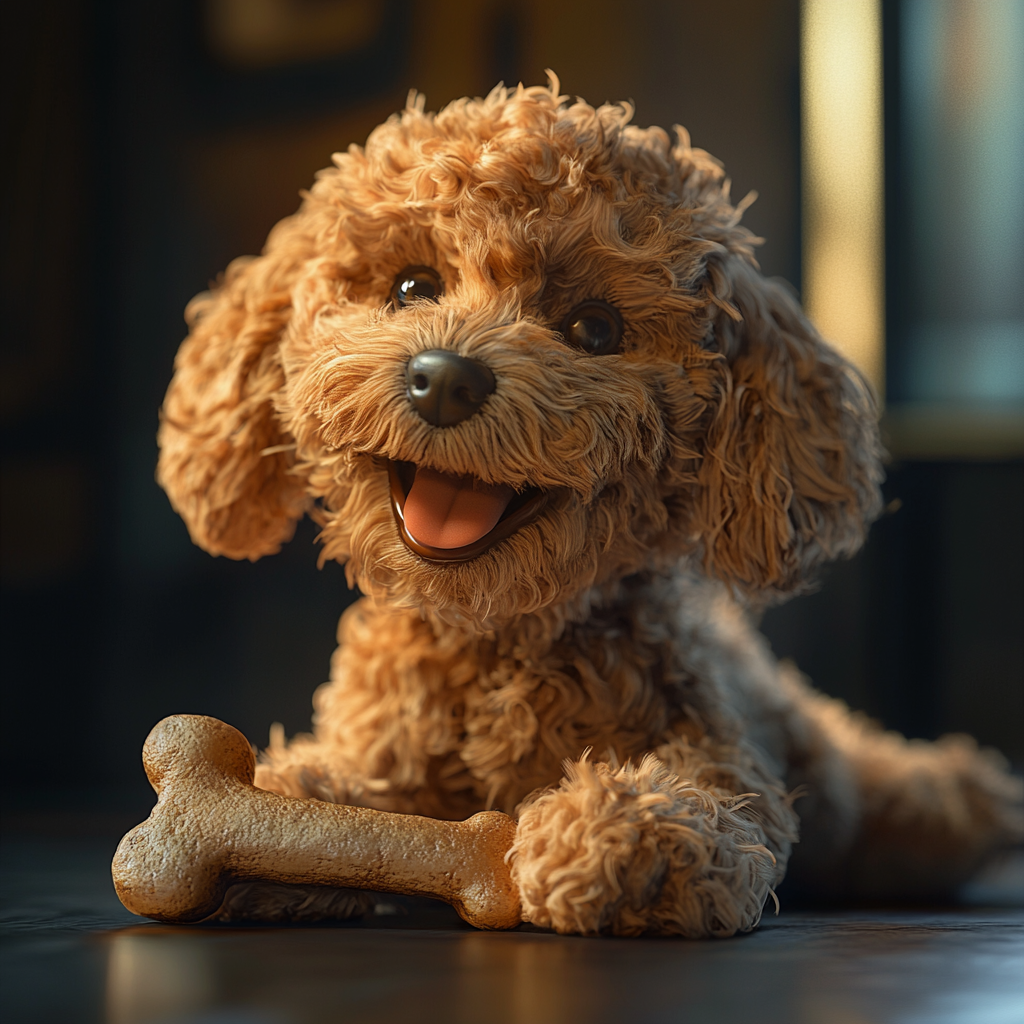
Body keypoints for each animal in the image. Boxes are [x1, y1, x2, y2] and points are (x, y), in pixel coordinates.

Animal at [155, 79, 1019, 937]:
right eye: (410, 286)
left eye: (595, 328)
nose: (445, 378)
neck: (493, 643)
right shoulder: (386, 750)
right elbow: (343, 791)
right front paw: (274, 807)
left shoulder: (718, 751)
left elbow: (708, 803)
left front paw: (622, 835)